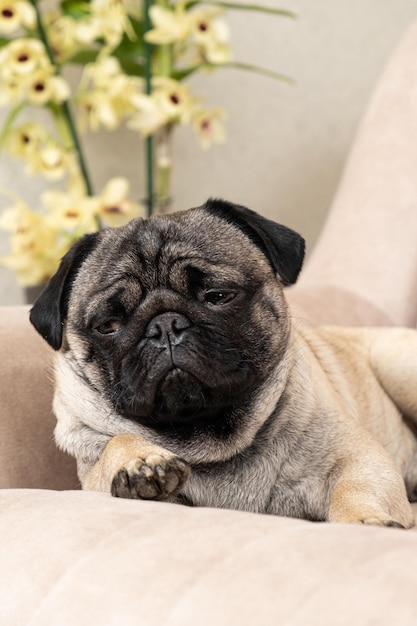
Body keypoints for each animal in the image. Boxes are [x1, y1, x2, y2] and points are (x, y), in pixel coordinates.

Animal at [30, 196, 416, 528]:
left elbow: (354, 490)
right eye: (108, 325)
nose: (164, 326)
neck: (212, 440)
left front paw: (365, 522)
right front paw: (141, 462)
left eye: (217, 296)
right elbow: (116, 443)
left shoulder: (359, 457)